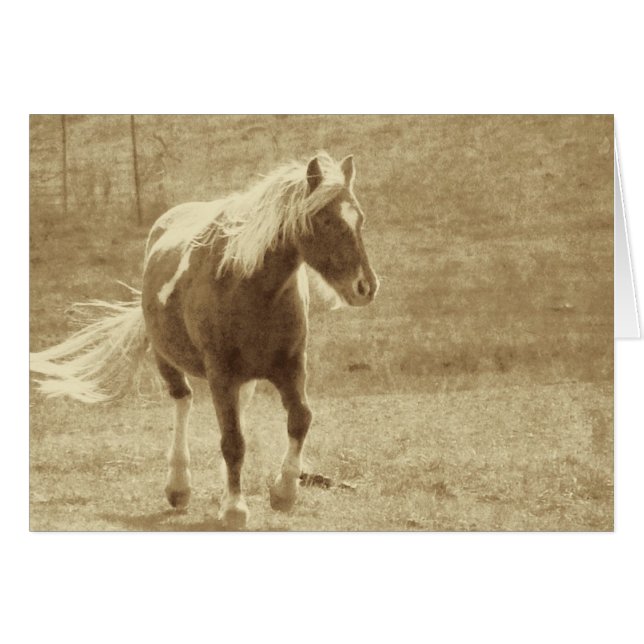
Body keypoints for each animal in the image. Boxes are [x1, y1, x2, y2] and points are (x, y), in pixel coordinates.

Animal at [30, 152, 379, 529]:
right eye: (326, 220)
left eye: (359, 218)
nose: (366, 287)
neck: (250, 286)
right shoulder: (221, 373)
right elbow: (233, 441)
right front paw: (235, 509)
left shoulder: (290, 366)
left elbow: (300, 418)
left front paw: (283, 493)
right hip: (168, 360)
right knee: (183, 401)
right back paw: (179, 486)